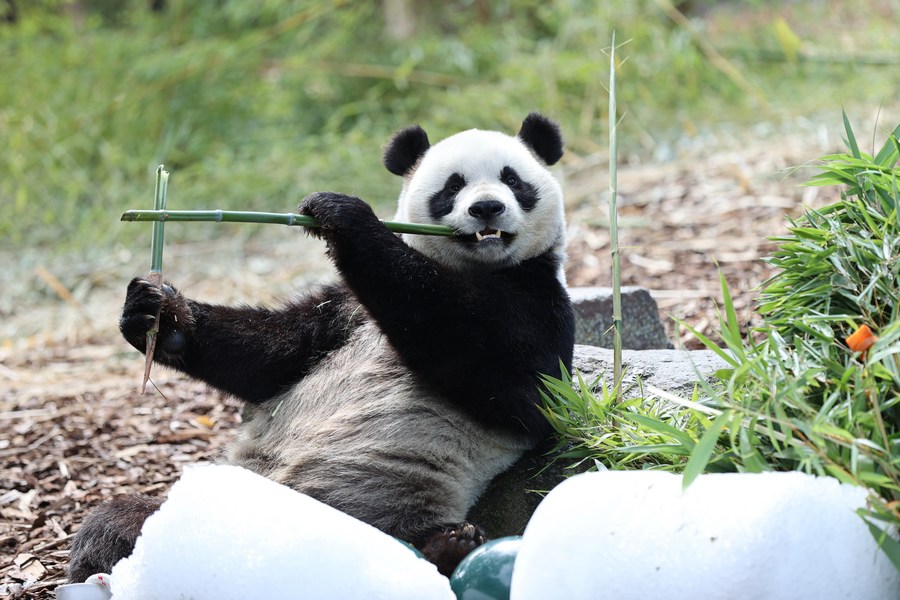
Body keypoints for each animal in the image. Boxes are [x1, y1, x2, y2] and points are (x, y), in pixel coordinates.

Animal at [70, 112, 576, 580]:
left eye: (513, 180)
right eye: (453, 186)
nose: (487, 208)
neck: (471, 268)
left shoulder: (538, 298)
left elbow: (511, 380)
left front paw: (343, 215)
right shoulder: (341, 312)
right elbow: (268, 356)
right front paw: (155, 315)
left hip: (383, 500)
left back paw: (447, 544)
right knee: (115, 522)